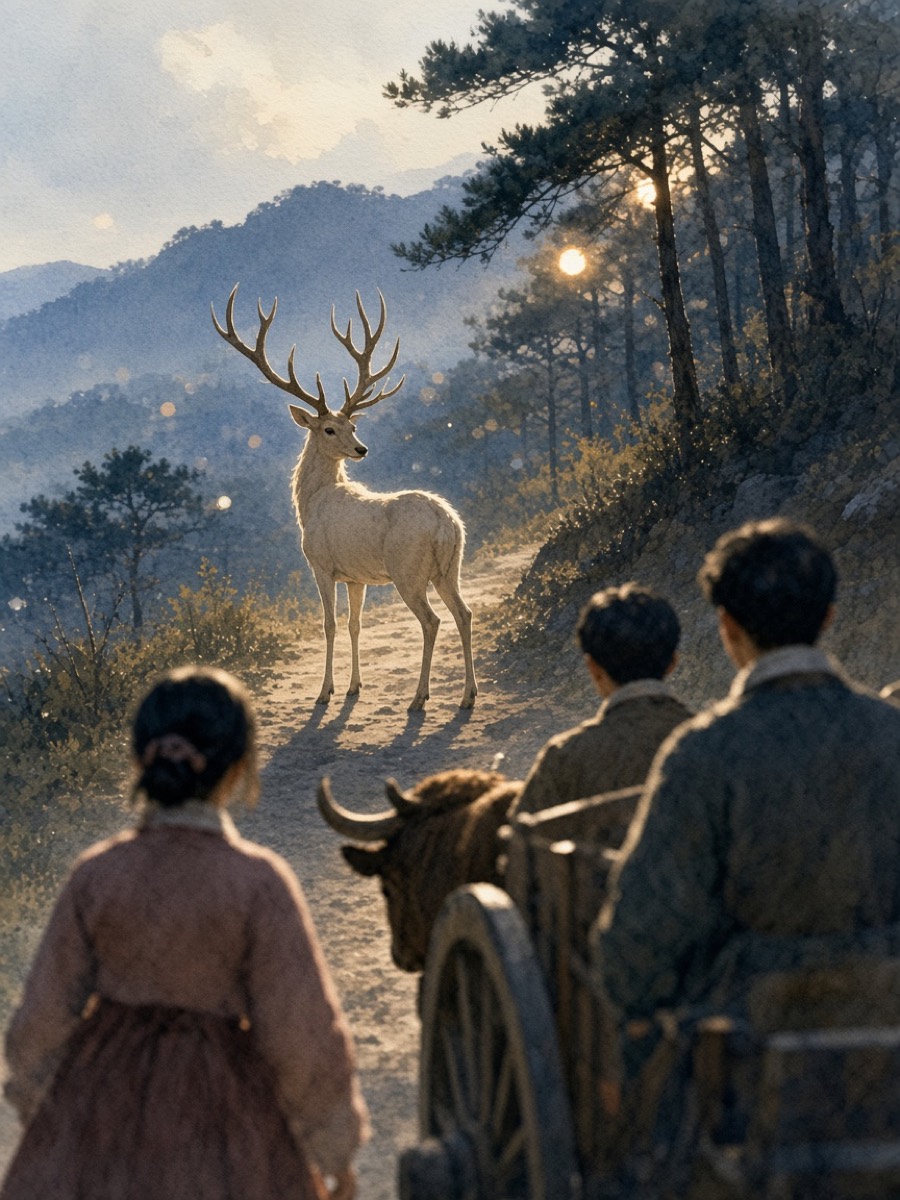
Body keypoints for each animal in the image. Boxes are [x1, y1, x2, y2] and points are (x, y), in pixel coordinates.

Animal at [211, 285, 477, 712]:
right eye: (332, 429)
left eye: (351, 425)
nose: (362, 449)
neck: (310, 505)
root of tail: (445, 524)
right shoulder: (356, 576)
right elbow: (355, 624)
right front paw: (354, 686)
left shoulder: (320, 564)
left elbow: (330, 624)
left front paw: (324, 691)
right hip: (450, 566)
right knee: (465, 613)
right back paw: (468, 695)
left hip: (408, 570)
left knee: (432, 620)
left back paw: (419, 697)